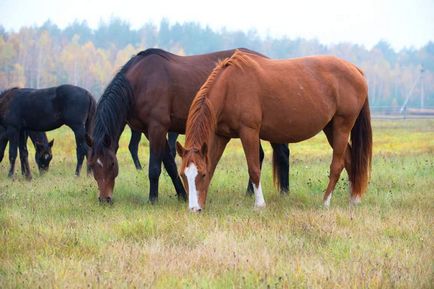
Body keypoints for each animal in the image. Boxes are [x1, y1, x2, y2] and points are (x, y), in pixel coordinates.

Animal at [86, 48, 290, 204]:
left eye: (112, 163)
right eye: (92, 165)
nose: (104, 199)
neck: (140, 83)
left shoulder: (157, 127)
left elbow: (154, 167)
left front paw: (153, 199)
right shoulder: (152, 131)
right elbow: (169, 164)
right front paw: (183, 194)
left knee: (280, 152)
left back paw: (284, 191)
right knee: (260, 155)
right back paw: (251, 192)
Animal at [176, 50, 372, 210]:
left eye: (200, 175)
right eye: (183, 175)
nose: (194, 208)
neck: (230, 86)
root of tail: (356, 70)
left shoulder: (249, 132)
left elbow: (254, 168)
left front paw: (259, 204)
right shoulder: (221, 135)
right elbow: (213, 164)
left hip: (342, 126)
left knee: (337, 165)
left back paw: (325, 202)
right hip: (330, 128)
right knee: (349, 160)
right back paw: (354, 199)